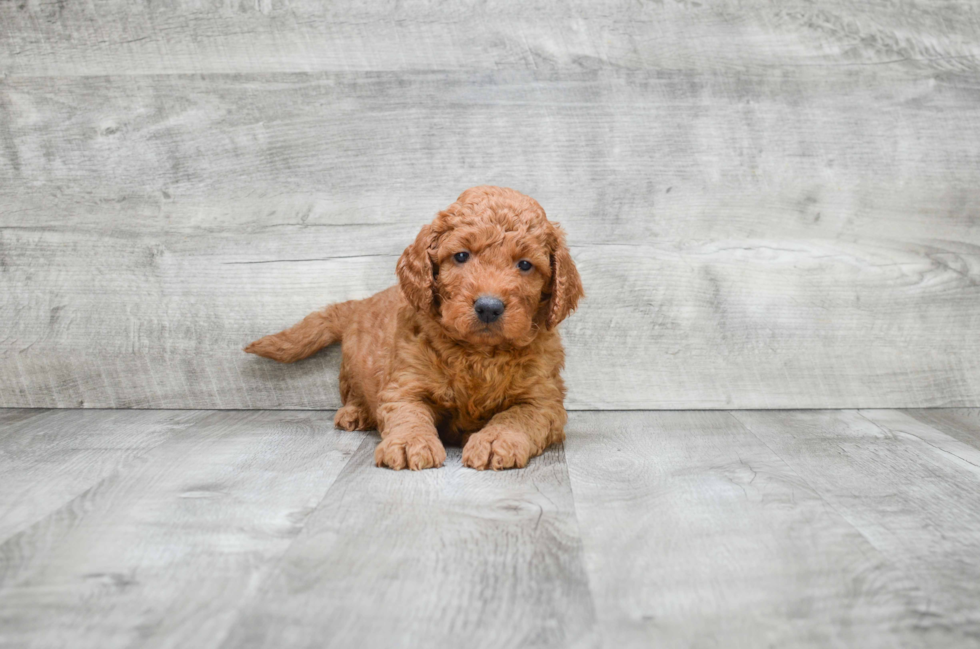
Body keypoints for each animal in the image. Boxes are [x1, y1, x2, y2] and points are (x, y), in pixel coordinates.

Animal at [245, 185, 580, 468]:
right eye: (461, 256)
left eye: (525, 265)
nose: (488, 307)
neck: (479, 354)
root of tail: (361, 302)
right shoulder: (405, 384)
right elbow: (409, 414)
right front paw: (410, 443)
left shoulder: (545, 399)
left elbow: (517, 416)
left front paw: (495, 440)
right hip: (350, 368)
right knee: (353, 393)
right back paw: (355, 412)